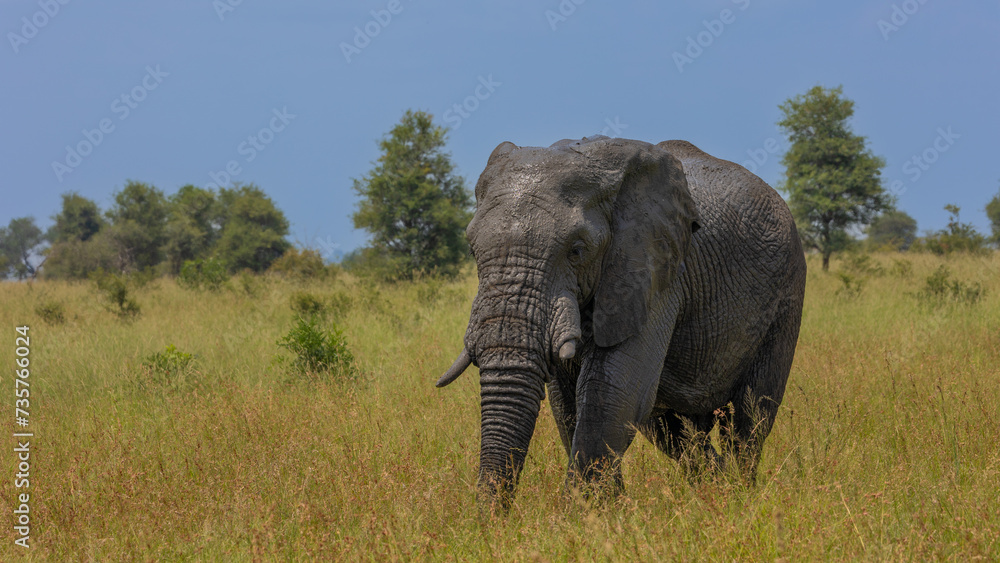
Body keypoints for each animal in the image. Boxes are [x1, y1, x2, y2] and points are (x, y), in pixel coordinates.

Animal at [436, 136, 806, 510]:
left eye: (577, 250)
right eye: (472, 249)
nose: (493, 520)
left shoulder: (654, 272)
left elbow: (612, 391)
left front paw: (581, 516)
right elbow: (567, 402)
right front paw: (609, 512)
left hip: (787, 293)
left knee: (750, 417)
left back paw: (739, 497)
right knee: (672, 430)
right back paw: (713, 492)